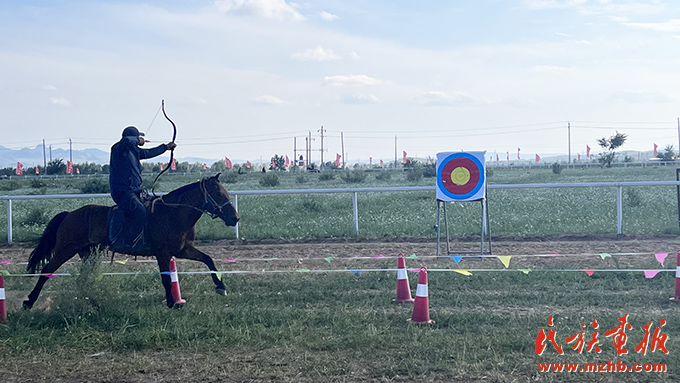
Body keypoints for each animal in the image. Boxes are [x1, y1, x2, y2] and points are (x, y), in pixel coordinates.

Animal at [23, 176, 239, 310]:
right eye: (218, 194)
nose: (234, 218)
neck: (173, 213)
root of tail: (69, 215)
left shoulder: (183, 250)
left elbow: (208, 259)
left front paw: (221, 286)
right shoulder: (163, 253)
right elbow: (166, 278)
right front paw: (173, 302)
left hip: (89, 254)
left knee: (82, 279)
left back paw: (92, 302)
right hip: (65, 250)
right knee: (47, 270)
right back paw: (29, 301)